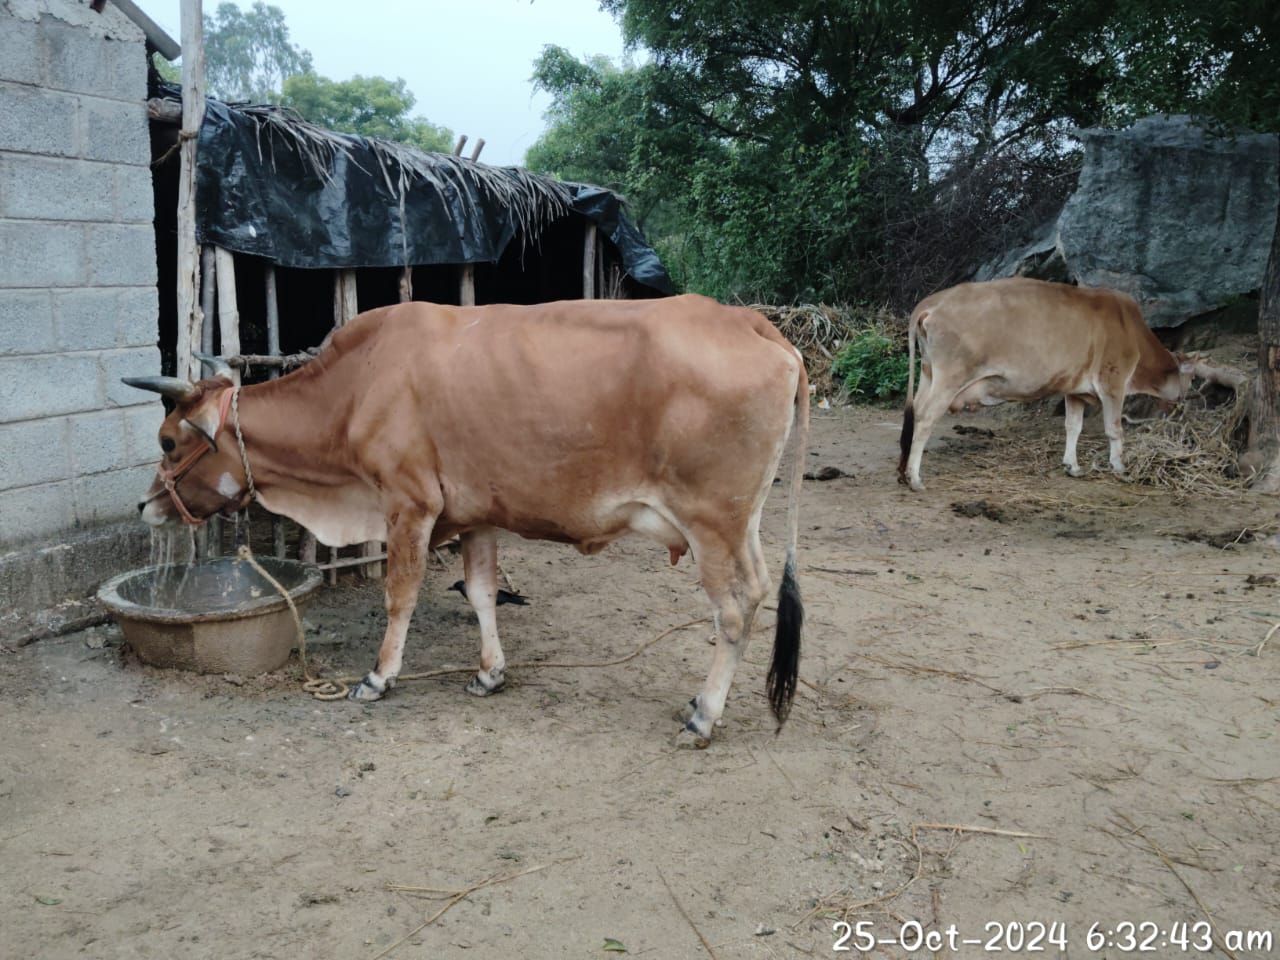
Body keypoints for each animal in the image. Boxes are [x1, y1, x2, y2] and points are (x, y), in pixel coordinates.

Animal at [124, 294, 808, 747]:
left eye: (167, 441)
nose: (146, 505)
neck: (356, 387)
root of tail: (746, 319)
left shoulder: (409, 505)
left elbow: (399, 595)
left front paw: (379, 676)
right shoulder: (477, 513)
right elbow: (481, 592)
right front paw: (488, 672)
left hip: (711, 521)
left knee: (734, 608)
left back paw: (704, 714)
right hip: (742, 523)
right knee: (760, 589)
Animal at [897, 277, 1193, 491]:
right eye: (1190, 380)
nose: (1182, 403)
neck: (1132, 331)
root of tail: (933, 301)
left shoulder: (1075, 390)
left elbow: (1073, 426)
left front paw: (1072, 466)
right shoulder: (1113, 381)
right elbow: (1114, 429)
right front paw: (1120, 469)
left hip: (929, 374)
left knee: (914, 411)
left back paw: (902, 472)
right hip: (950, 377)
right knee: (925, 417)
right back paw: (915, 478)